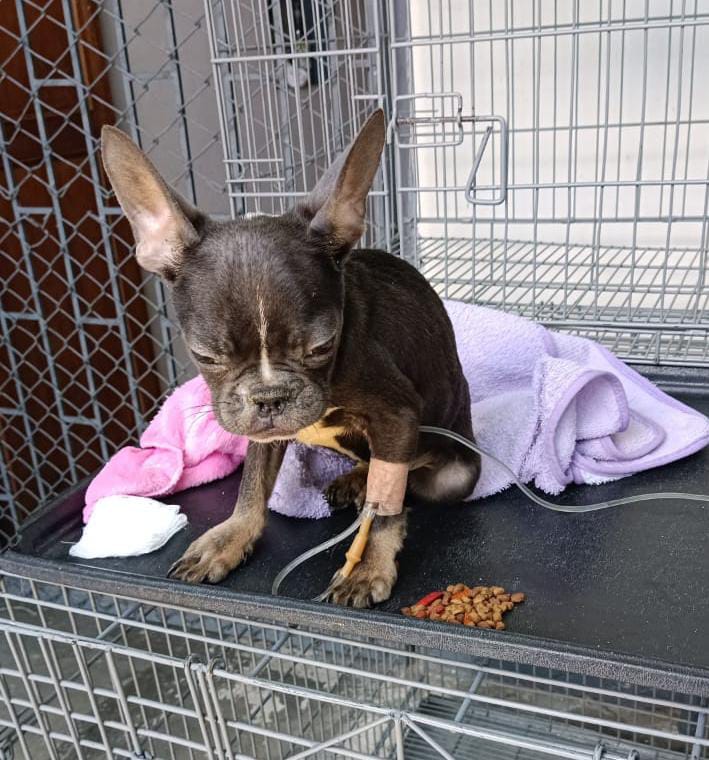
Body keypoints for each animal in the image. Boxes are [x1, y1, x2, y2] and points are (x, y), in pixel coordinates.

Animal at [100, 110, 480, 607]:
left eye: (322, 347)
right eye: (205, 355)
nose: (270, 398)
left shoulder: (398, 414)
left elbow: (385, 507)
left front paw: (368, 567)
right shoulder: (261, 433)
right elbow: (252, 485)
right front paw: (231, 537)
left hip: (452, 468)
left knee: (408, 474)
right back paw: (355, 476)